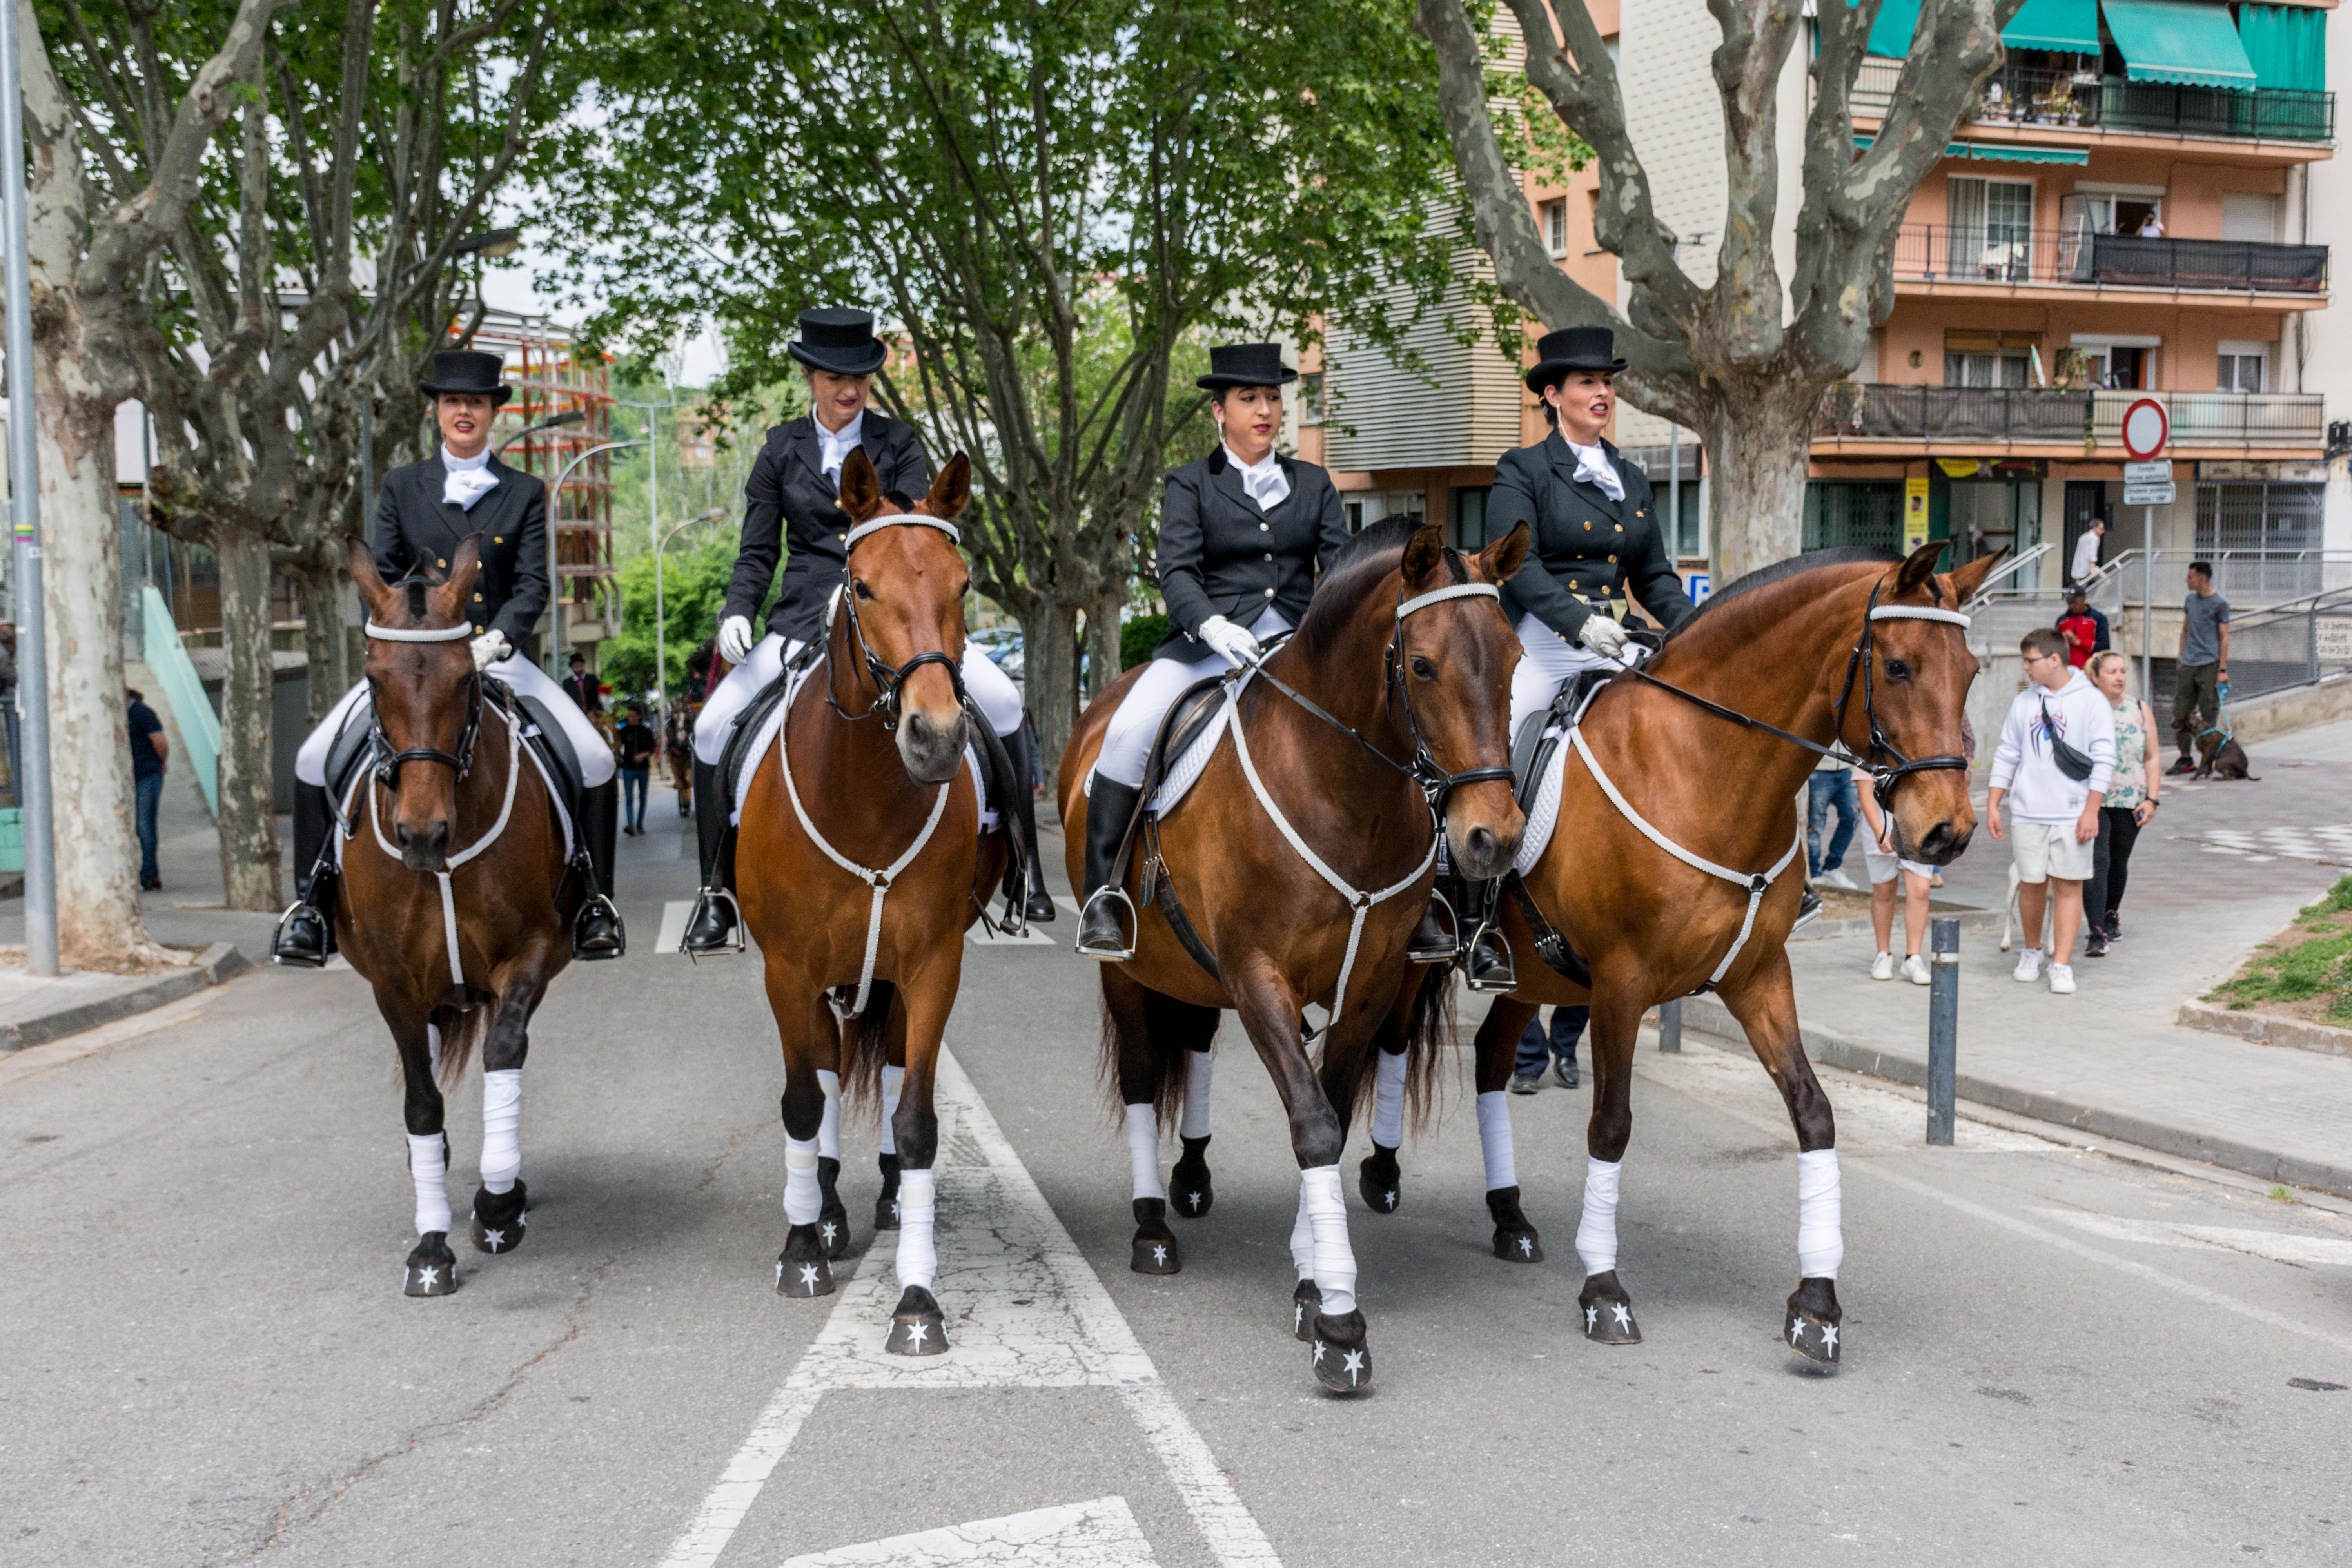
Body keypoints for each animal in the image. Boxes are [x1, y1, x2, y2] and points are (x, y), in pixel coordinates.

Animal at [339, 541, 581, 1298]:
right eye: (374, 678)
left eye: (464, 680)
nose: (422, 836)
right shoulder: (390, 981)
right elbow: (421, 1100)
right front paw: (430, 1246)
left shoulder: (532, 951)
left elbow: (505, 1053)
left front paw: (498, 1204)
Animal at [734, 446, 993, 1354]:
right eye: (864, 586)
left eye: (962, 584)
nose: (937, 737)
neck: (867, 799)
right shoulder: (786, 971)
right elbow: (803, 1099)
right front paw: (803, 1247)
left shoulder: (935, 967)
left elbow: (915, 1120)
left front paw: (916, 1297)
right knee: (818, 1073)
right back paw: (826, 1210)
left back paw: (877, 1202)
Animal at [1063, 522, 1534, 1392]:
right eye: (1423, 665)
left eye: (1517, 657)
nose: (1495, 838)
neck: (1343, 788)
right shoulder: (1259, 977)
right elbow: (1312, 1124)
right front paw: (1341, 1325)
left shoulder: (1371, 985)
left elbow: (1336, 1118)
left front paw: (1314, 1280)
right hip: (1129, 973)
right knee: (1144, 1076)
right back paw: (1152, 1228)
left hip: (1197, 973)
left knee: (1194, 1046)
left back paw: (1191, 1181)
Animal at [1364, 541, 2004, 1363]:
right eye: (1897, 666)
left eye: (1973, 670)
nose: (1948, 832)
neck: (1702, 769)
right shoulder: (1621, 985)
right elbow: (1611, 1124)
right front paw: (1604, 1290)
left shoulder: (1759, 977)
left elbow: (1814, 1113)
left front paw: (1817, 1304)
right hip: (1417, 960)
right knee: (1393, 1042)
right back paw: (1381, 1174)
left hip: (1533, 973)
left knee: (1493, 1060)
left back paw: (1509, 1216)